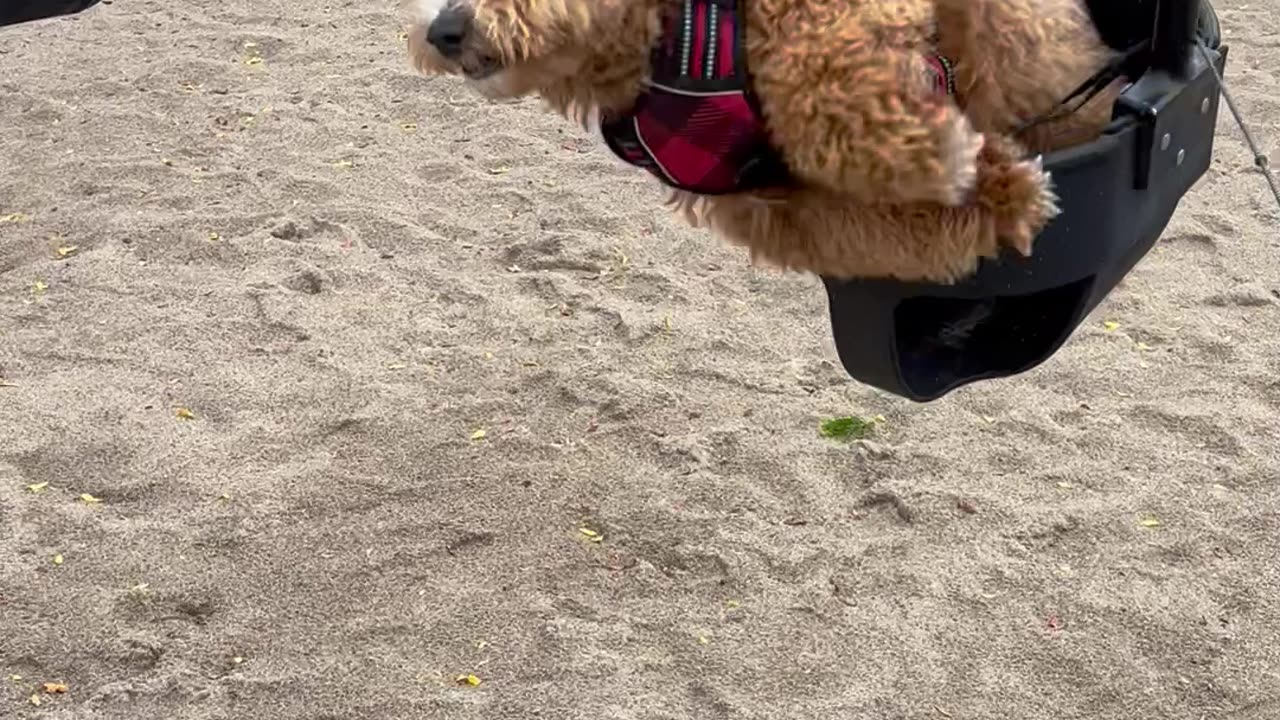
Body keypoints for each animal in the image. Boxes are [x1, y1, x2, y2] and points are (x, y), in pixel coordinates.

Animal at [401, 0, 1131, 283]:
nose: (442, 30)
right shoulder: (782, 208)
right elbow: (895, 229)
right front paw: (995, 191)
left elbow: (818, 71)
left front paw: (938, 153)